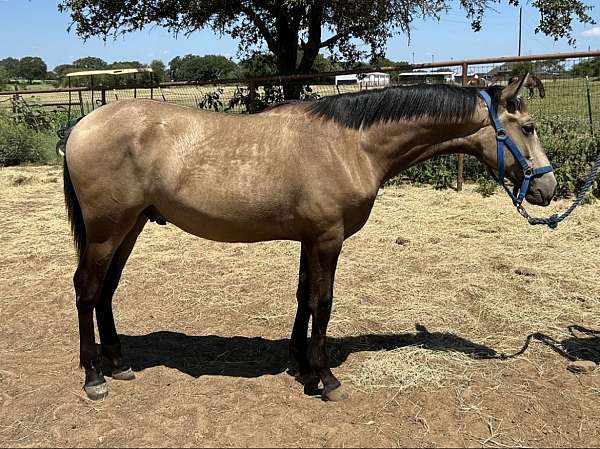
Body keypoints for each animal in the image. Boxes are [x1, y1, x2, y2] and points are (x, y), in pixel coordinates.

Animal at [62, 73, 556, 400]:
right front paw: (326, 378)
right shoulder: (328, 239)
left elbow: (303, 297)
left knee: (107, 290)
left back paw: (119, 364)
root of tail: (80, 127)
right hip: (107, 229)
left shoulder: (308, 239)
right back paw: (93, 377)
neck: (350, 145)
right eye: (529, 127)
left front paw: (300, 364)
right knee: (86, 289)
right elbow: (323, 301)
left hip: (131, 226)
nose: (548, 189)